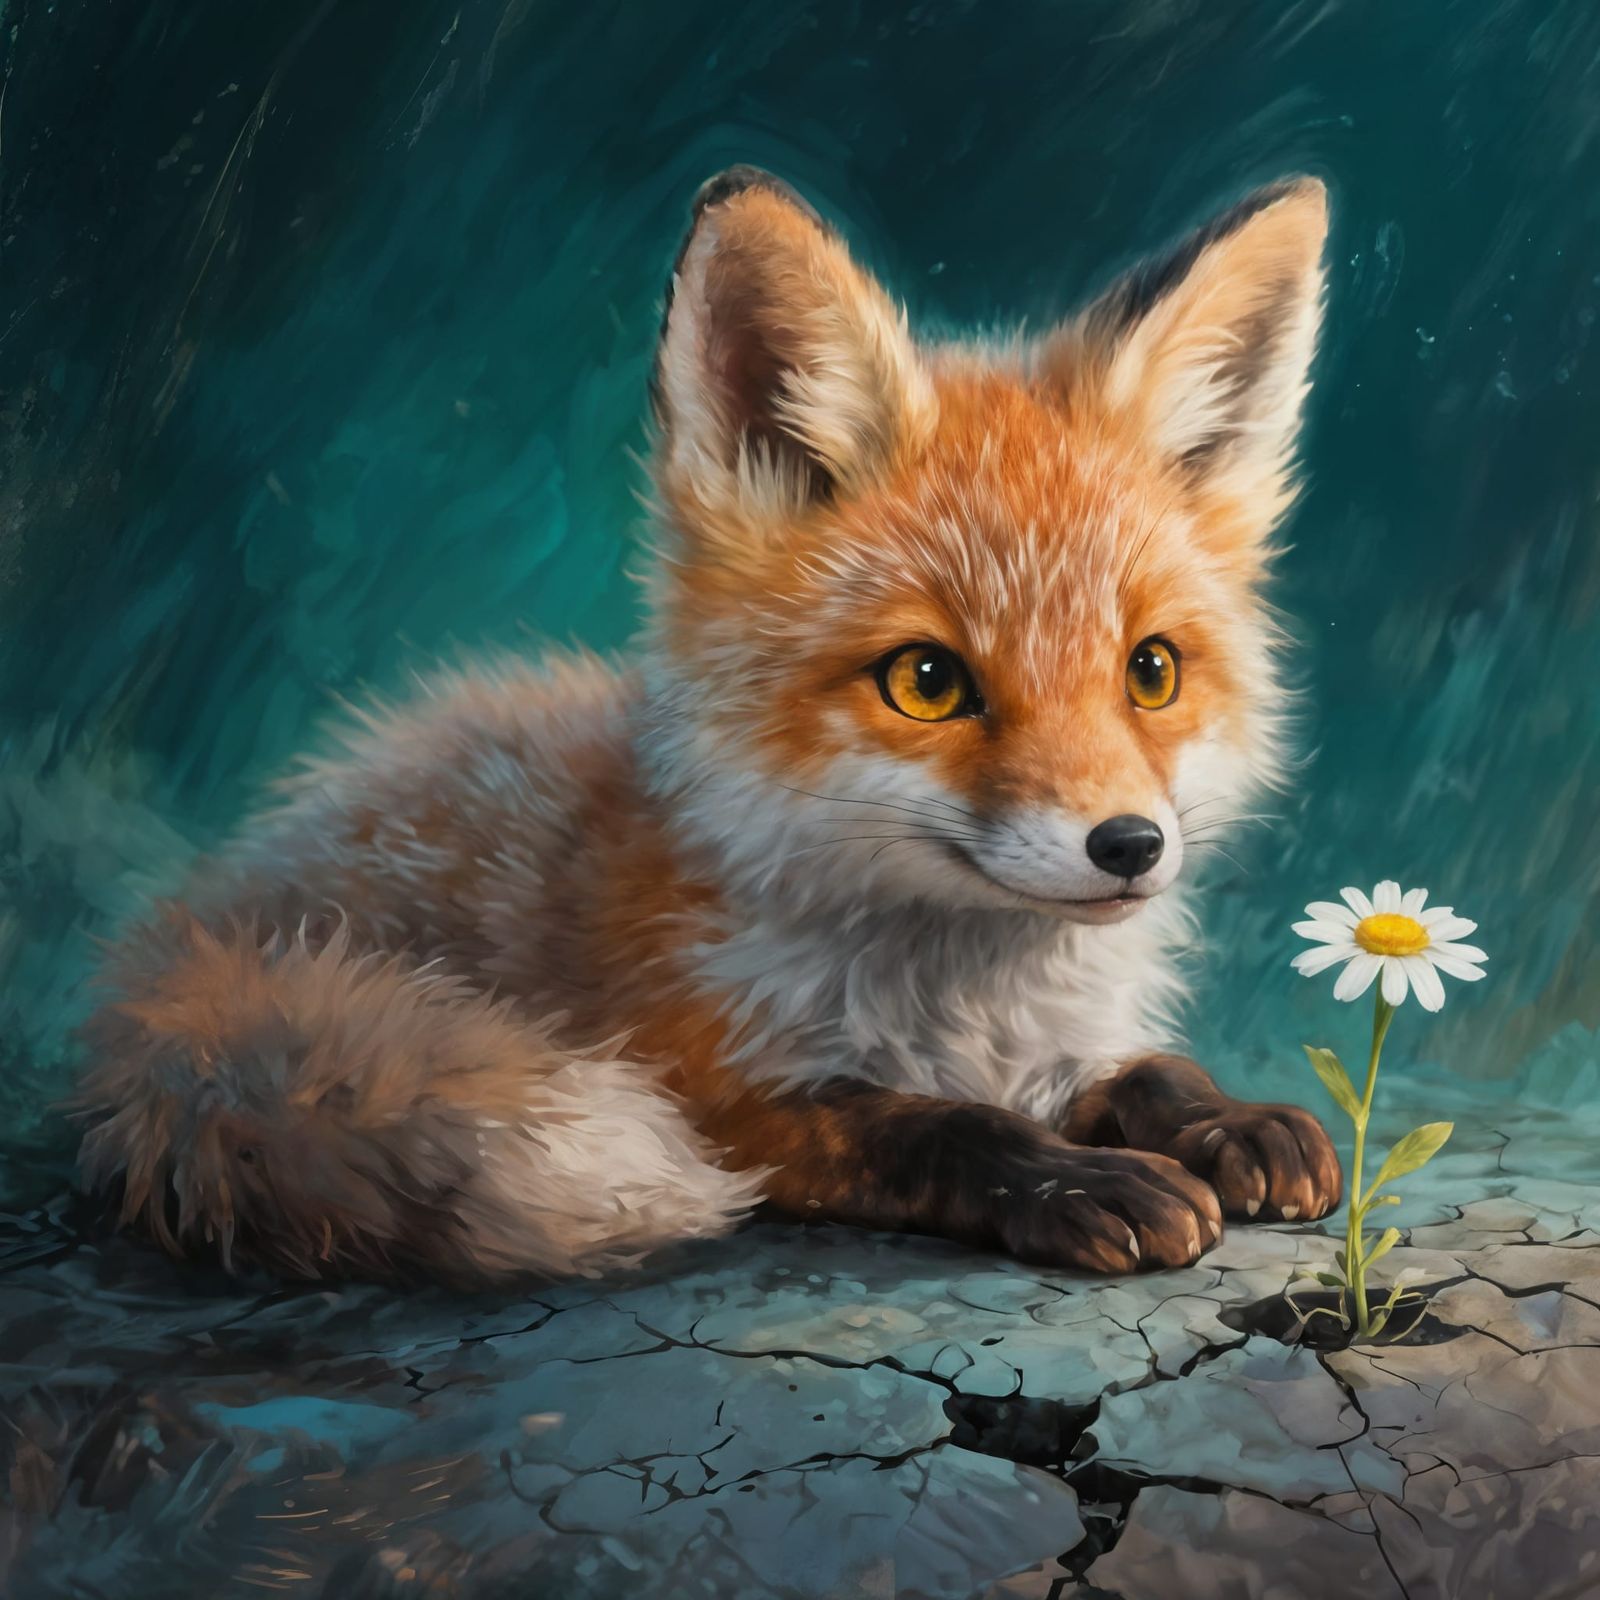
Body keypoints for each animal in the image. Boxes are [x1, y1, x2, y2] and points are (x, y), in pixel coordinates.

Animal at [75, 167, 1344, 1286]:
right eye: (929, 680)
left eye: (1150, 671)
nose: (1129, 846)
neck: (962, 999)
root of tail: (188, 940)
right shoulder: (717, 1090)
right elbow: (932, 1126)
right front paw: (1074, 1179)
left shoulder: (1054, 1044)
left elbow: (1145, 1073)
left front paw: (1227, 1118)